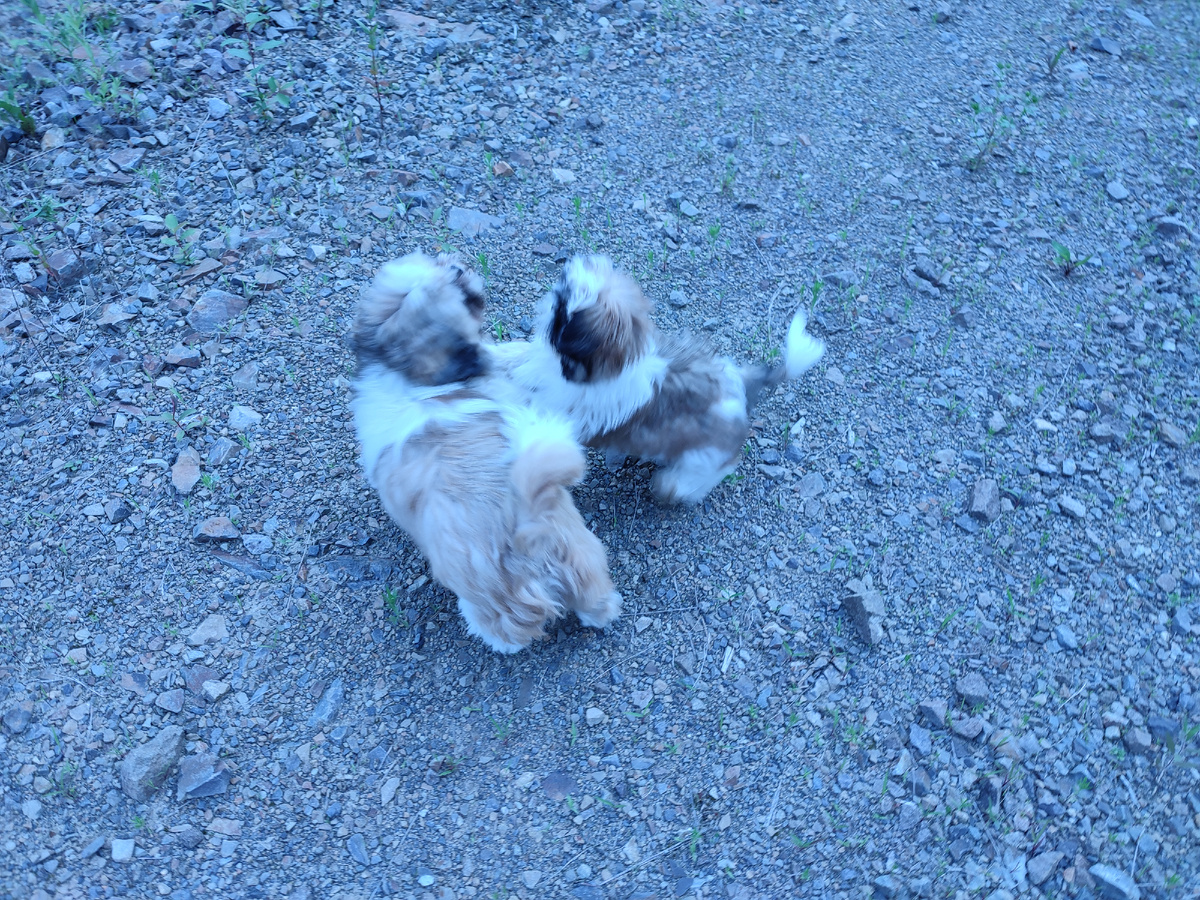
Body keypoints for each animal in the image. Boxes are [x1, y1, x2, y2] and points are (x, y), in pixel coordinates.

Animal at [489, 256, 825, 504]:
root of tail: (740, 386)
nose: (550, 299)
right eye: (562, 292)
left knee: (711, 471)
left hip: (704, 456)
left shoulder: (571, 409)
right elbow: (516, 360)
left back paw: (675, 485)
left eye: (563, 312)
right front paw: (494, 357)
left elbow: (529, 400)